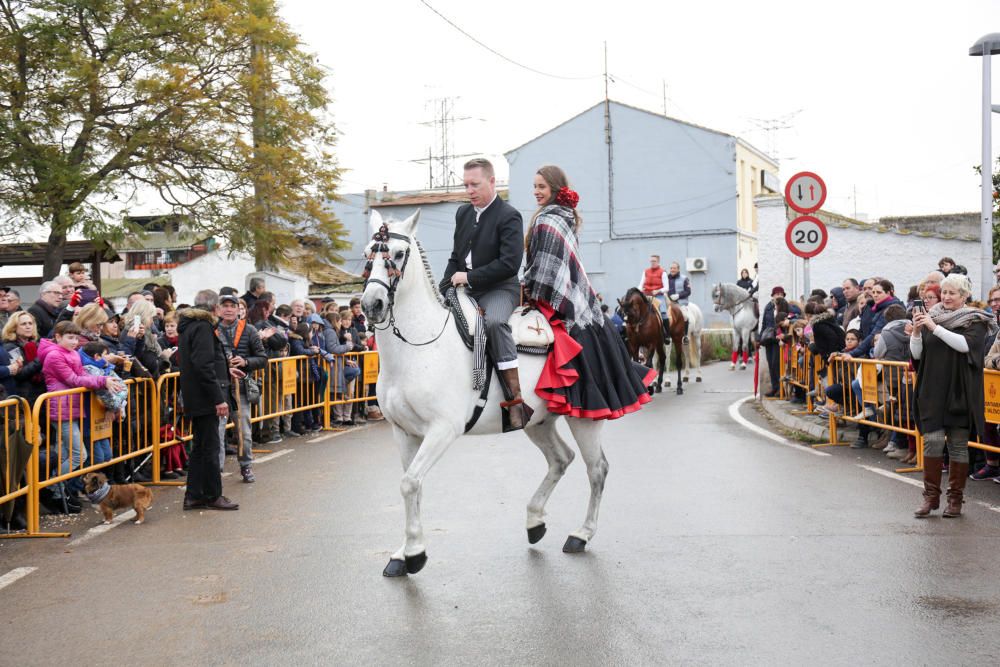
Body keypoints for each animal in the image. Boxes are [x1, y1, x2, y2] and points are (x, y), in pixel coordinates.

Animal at [362, 210, 608, 580]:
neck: (420, 347)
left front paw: (416, 554)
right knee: (561, 459)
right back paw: (535, 521)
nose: (371, 305)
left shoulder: (442, 430)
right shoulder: (403, 432)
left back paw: (581, 534)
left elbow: (409, 484)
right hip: (539, 421)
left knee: (596, 469)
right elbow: (413, 486)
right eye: (368, 253)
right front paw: (403, 554)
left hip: (584, 419)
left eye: (399, 253)